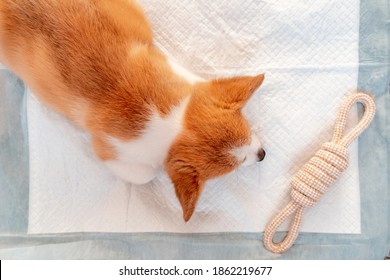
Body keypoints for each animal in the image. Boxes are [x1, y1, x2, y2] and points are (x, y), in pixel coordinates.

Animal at [0, 0, 266, 222]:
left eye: (248, 130)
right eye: (238, 163)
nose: (263, 154)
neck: (170, 123)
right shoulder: (109, 150)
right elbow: (146, 174)